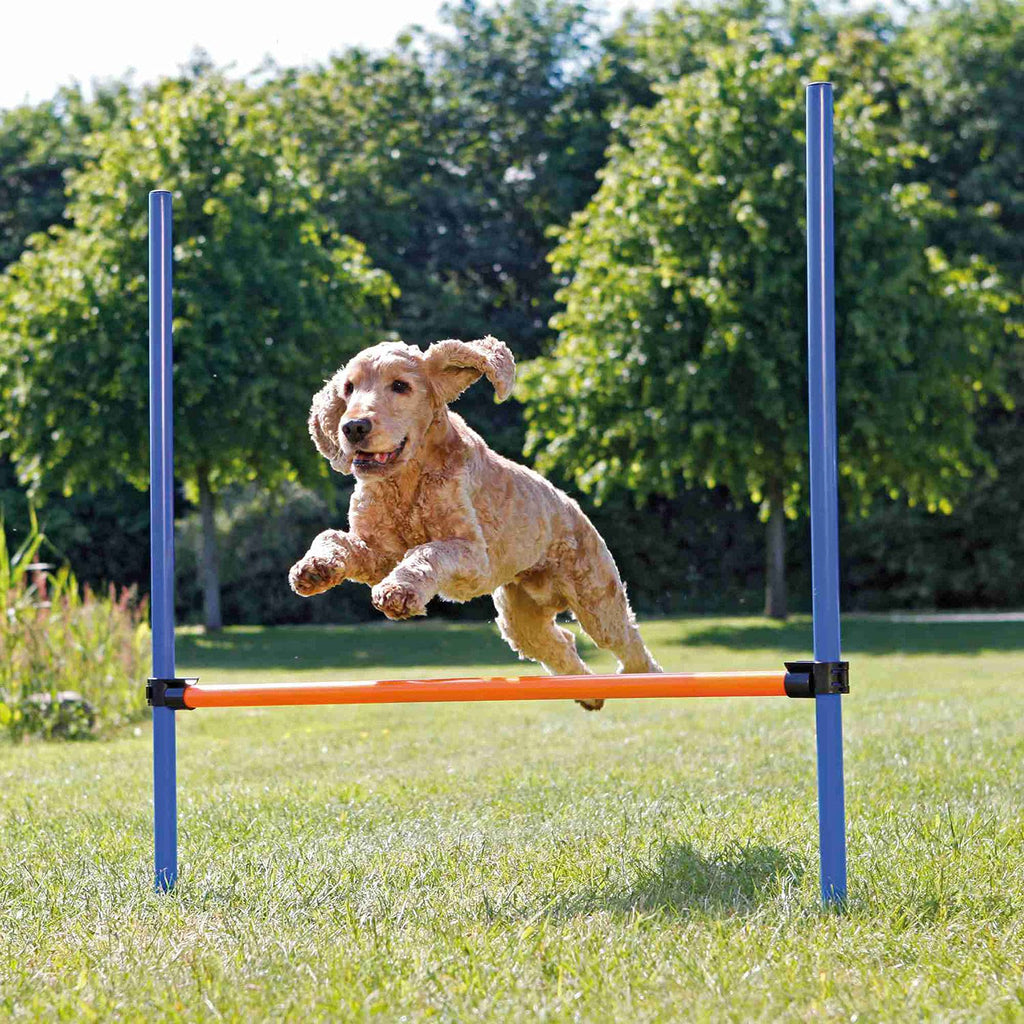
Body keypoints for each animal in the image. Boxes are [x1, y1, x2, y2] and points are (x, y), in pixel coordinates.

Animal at [286, 339, 663, 708]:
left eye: (400, 386)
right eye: (348, 388)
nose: (353, 427)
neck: (406, 481)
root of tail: (572, 504)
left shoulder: (471, 556)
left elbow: (426, 551)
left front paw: (399, 592)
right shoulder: (377, 551)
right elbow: (333, 537)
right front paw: (314, 568)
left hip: (595, 598)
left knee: (625, 637)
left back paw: (646, 677)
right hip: (521, 618)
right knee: (562, 643)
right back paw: (589, 694)